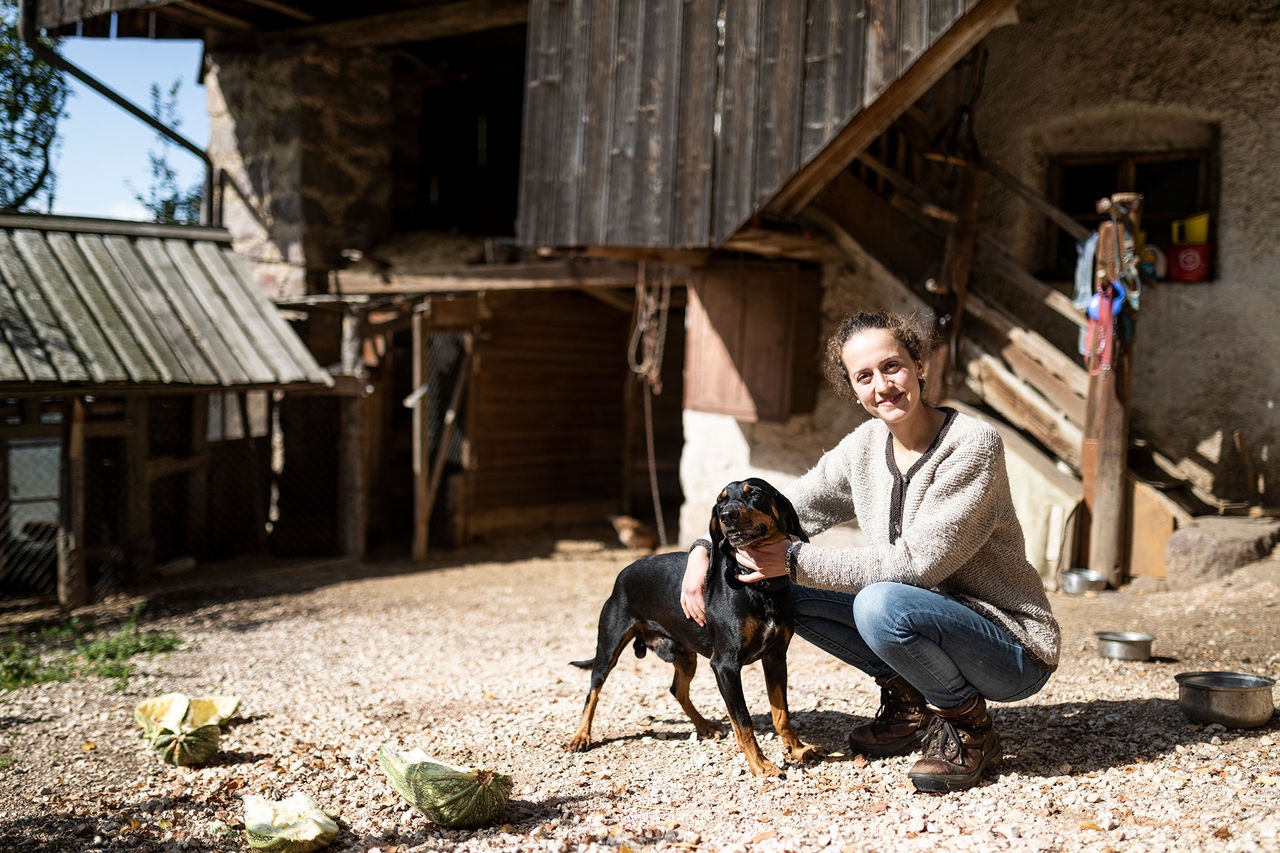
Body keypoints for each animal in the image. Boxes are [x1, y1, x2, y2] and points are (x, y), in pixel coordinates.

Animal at [568, 473, 824, 773]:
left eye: (755, 494)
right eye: (720, 501)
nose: (726, 515)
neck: (759, 586)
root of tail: (623, 573)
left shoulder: (775, 657)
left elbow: (781, 713)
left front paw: (798, 749)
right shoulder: (725, 666)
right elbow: (743, 721)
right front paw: (760, 765)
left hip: (685, 654)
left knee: (677, 689)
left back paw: (704, 726)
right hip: (608, 649)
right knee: (592, 692)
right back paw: (581, 737)